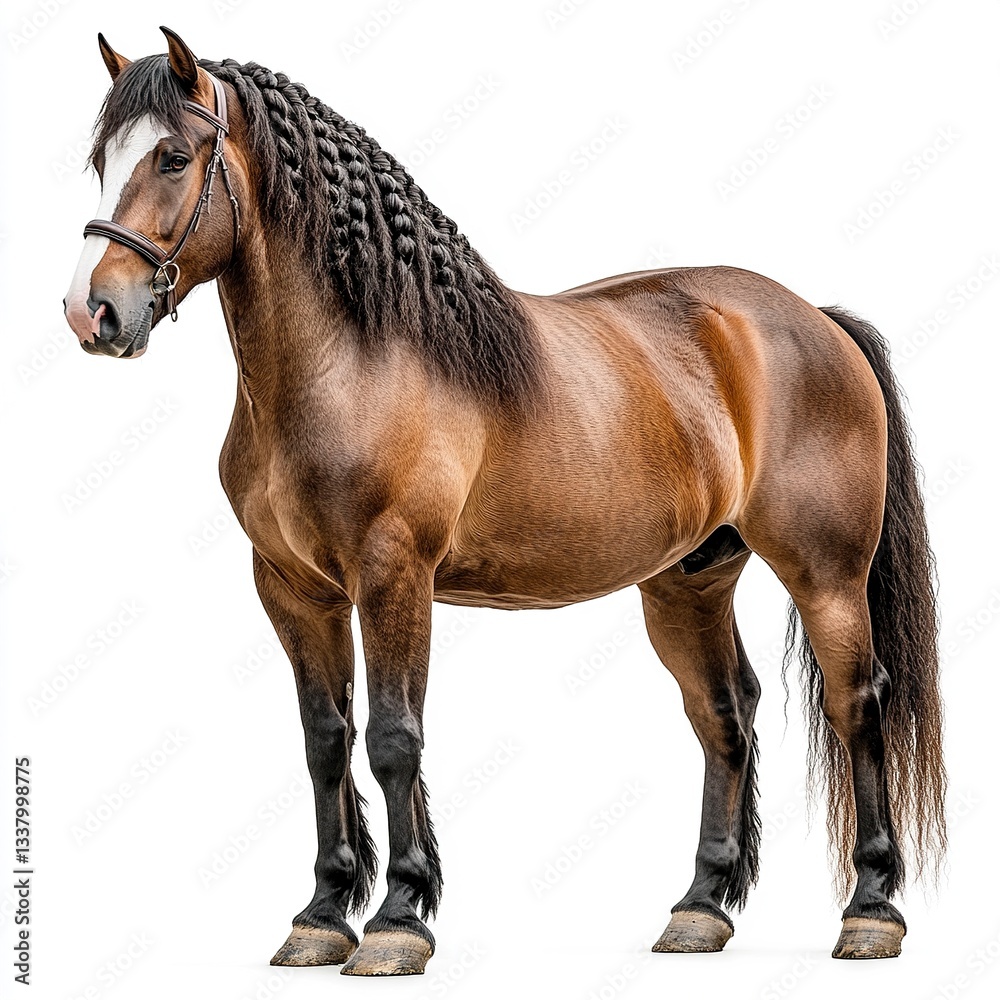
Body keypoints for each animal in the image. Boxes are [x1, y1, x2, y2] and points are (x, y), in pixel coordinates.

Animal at [64, 27, 946, 977]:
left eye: (173, 156)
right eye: (101, 160)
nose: (92, 311)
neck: (352, 360)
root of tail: (812, 318)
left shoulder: (394, 576)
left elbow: (393, 737)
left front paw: (398, 920)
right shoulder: (292, 590)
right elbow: (325, 741)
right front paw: (322, 915)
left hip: (826, 575)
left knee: (858, 704)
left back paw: (870, 911)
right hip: (687, 584)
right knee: (723, 714)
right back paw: (700, 909)